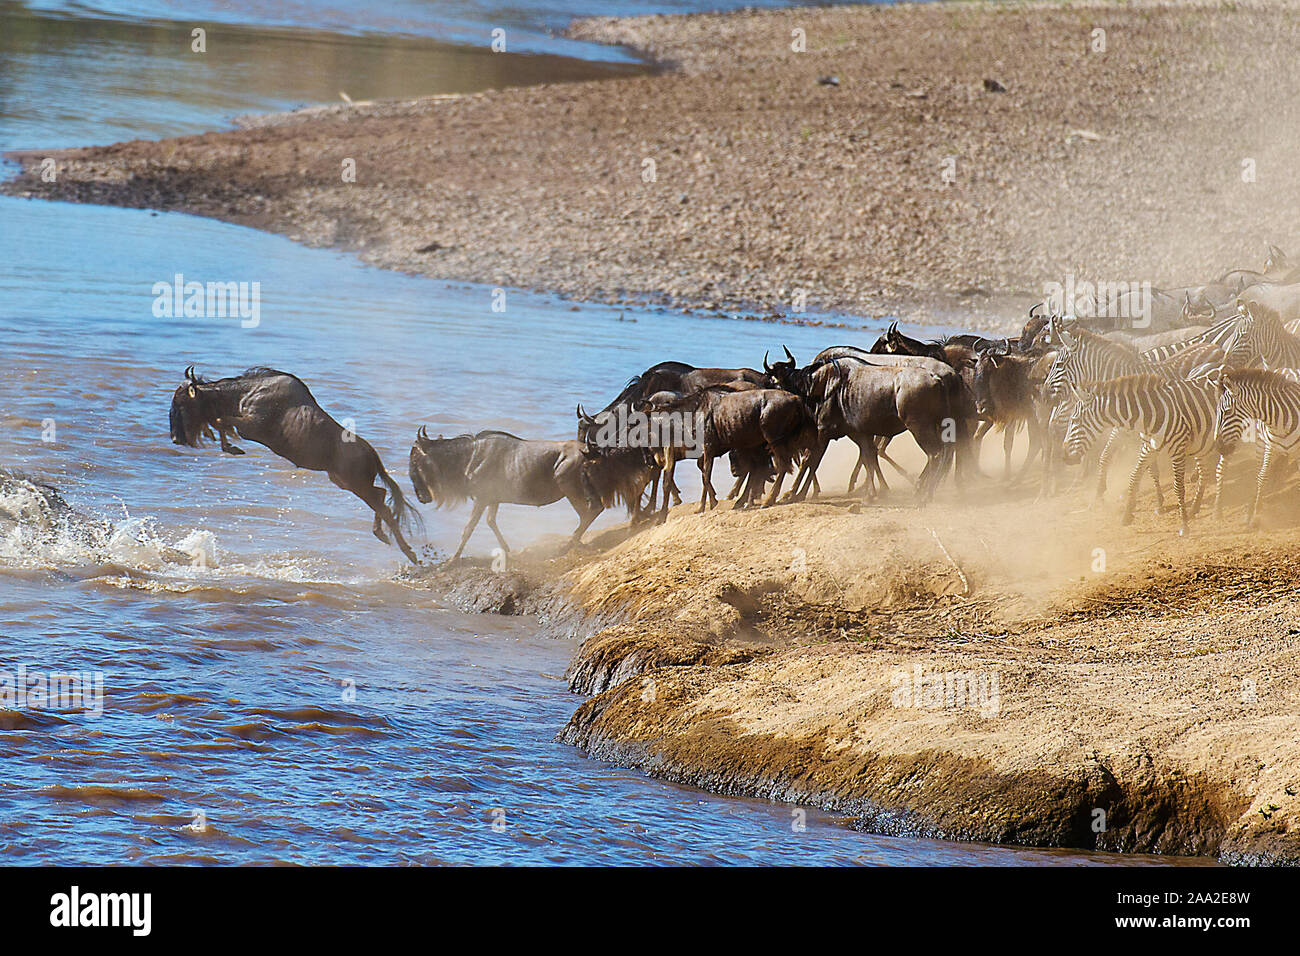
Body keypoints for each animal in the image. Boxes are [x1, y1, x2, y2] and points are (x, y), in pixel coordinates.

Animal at [1060, 374, 1222, 538]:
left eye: (1074, 421)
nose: (1064, 456)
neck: (1150, 414)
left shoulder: (1177, 450)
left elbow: (1178, 487)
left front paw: (1184, 525)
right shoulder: (1149, 448)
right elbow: (1134, 477)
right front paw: (1126, 516)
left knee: (1218, 470)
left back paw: (1214, 509)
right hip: (1200, 443)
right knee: (1205, 472)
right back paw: (1195, 508)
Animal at [1206, 369, 1300, 530]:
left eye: (1228, 411)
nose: (1218, 447)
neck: (1281, 423)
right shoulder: (1270, 446)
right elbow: (1262, 475)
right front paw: (1256, 513)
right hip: (1259, 443)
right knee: (1256, 471)